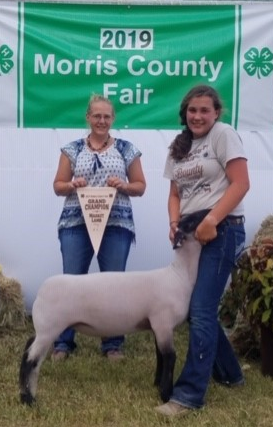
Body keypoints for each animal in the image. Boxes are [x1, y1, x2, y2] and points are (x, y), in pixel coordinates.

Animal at [18, 211, 209, 408]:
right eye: (191, 221)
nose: (209, 211)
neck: (179, 276)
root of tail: (42, 290)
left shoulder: (158, 326)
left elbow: (160, 355)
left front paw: (157, 384)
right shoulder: (164, 322)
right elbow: (170, 356)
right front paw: (165, 394)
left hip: (43, 328)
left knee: (27, 348)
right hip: (49, 329)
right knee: (31, 361)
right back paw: (28, 400)